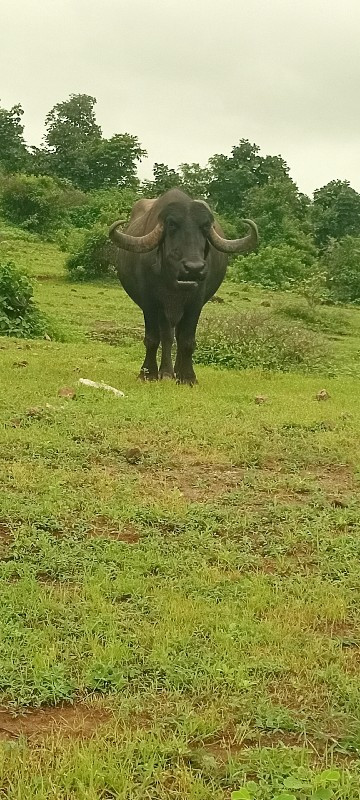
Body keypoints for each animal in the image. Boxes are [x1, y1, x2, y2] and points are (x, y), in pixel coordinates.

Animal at [108, 191, 258, 384]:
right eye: (172, 225)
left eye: (205, 226)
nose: (194, 268)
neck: (174, 287)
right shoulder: (150, 304)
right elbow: (154, 338)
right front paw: (149, 373)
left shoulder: (195, 303)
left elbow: (186, 340)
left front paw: (187, 376)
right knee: (167, 337)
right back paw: (166, 372)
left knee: (177, 336)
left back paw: (176, 372)